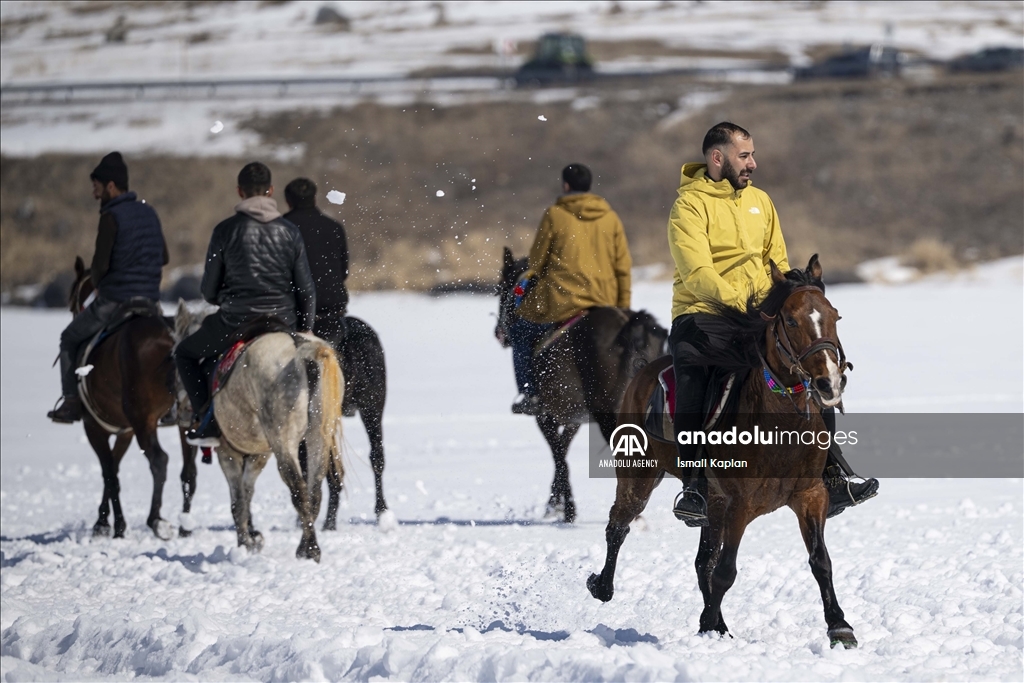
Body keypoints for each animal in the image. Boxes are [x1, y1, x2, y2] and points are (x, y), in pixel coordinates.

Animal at [68, 255, 178, 540]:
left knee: (159, 460)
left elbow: (109, 473)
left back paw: (156, 520)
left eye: (71, 299)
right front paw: (103, 521)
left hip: (142, 418)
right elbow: (113, 470)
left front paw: (114, 525)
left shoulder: (93, 427)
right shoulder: (124, 431)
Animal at [171, 305, 339, 561]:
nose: (178, 412)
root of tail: (301, 347)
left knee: (298, 490)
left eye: (172, 356)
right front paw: (252, 538)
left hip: (284, 441)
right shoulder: (259, 454)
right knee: (314, 490)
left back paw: (310, 549)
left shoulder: (228, 453)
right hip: (318, 437)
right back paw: (304, 546)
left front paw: (244, 544)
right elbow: (248, 493)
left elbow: (238, 502)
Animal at [497, 248, 671, 520]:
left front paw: (567, 510)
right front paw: (554, 504)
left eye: (501, 288)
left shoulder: (545, 416)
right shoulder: (573, 419)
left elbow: (558, 455)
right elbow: (563, 451)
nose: (498, 332)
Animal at [589, 253, 860, 651]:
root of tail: (641, 373)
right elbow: (726, 571)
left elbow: (820, 561)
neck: (780, 425)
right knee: (618, 526)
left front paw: (839, 627)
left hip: (711, 504)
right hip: (639, 475)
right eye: (791, 320)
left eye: (834, 316)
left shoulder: (810, 496)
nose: (830, 383)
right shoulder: (739, 505)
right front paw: (707, 626)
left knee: (701, 560)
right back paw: (602, 586)